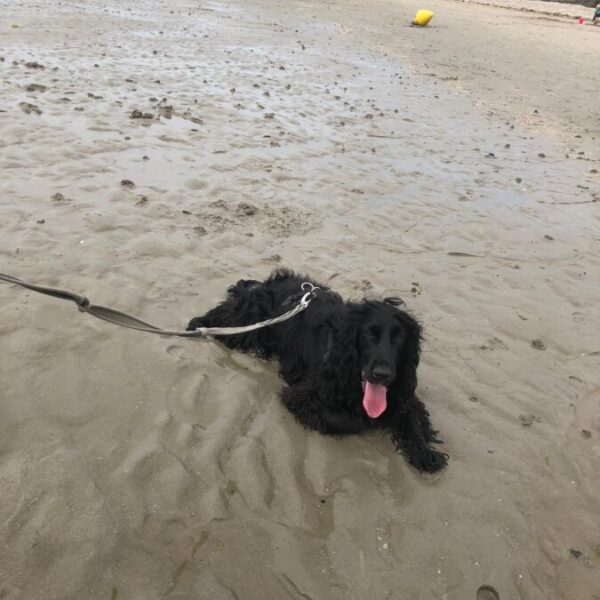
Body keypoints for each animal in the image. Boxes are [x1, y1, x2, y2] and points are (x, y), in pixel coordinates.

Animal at [186, 270, 446, 472]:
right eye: (368, 334)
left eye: (399, 338)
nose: (382, 374)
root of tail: (265, 283)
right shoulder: (303, 395)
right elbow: (345, 420)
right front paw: (367, 419)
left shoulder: (402, 390)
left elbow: (410, 415)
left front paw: (423, 451)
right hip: (247, 321)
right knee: (225, 317)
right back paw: (198, 324)